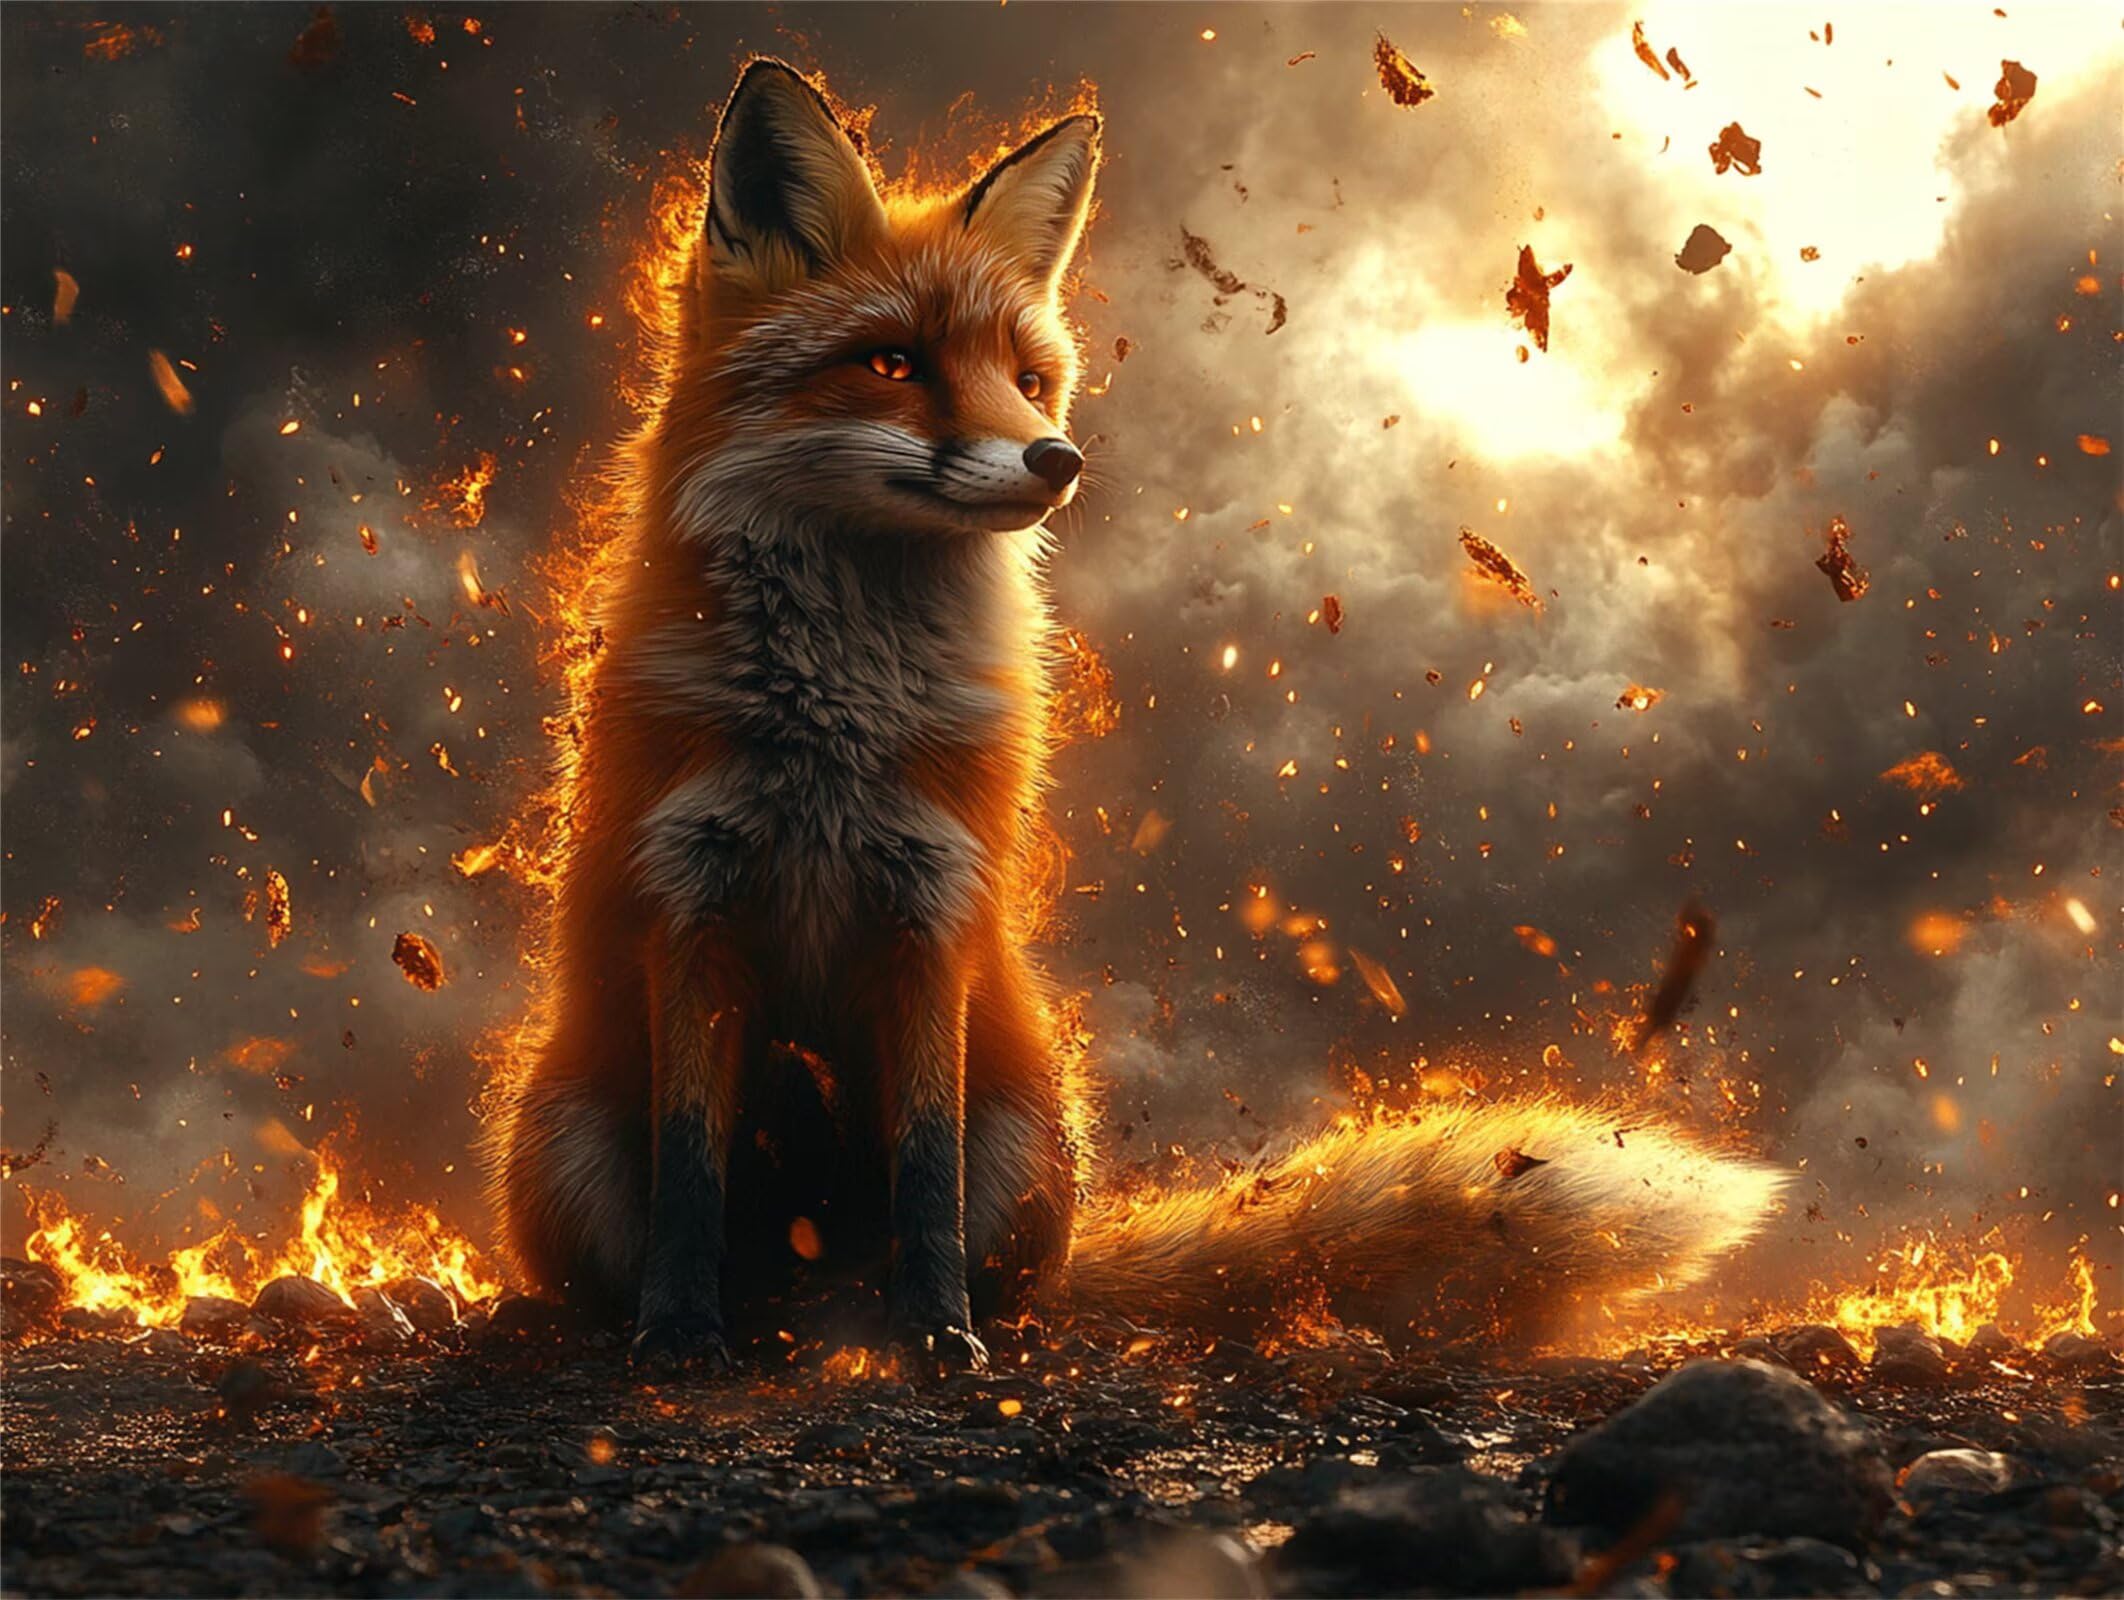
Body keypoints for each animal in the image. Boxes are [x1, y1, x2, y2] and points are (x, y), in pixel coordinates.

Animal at [487, 59, 1786, 1374]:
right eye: (893, 364)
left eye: (1027, 379)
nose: (1055, 458)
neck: (835, 712)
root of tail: (805, 1311)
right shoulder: (691, 901)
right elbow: (691, 1166)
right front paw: (677, 1332)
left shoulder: (931, 906)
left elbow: (924, 1165)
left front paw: (939, 1336)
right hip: (562, 1139)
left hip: (1027, 1134)